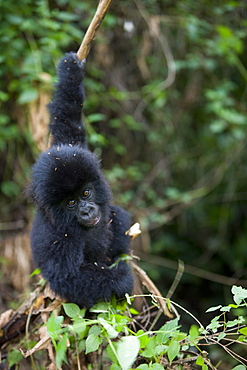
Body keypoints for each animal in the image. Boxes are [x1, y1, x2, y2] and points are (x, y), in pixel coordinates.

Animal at [27, 51, 133, 306]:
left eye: (85, 192)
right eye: (71, 203)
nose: (86, 210)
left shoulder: (69, 147)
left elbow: (67, 119)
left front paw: (70, 70)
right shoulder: (59, 240)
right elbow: (70, 276)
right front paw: (122, 279)